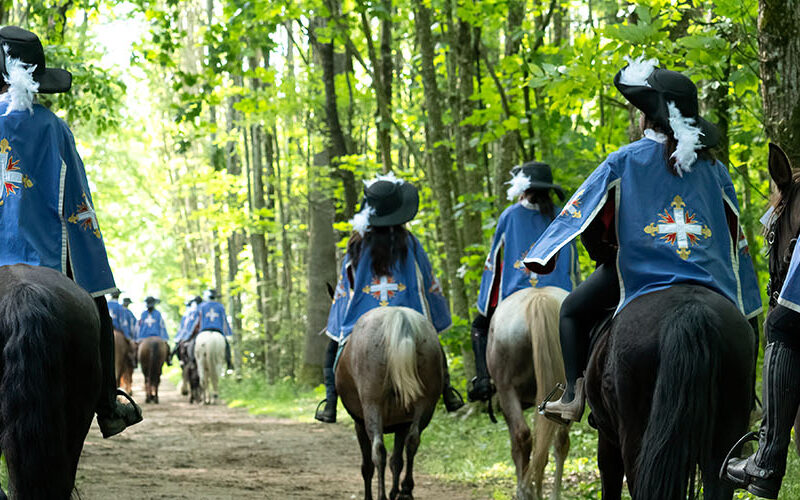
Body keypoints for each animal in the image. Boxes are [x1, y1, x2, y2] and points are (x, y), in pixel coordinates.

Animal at [334, 304, 440, 500]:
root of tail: (399, 316)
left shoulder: (359, 423)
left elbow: (368, 466)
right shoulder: (402, 424)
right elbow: (397, 460)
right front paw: (395, 492)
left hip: (372, 405)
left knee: (378, 451)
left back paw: (382, 495)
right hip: (425, 404)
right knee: (413, 441)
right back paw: (406, 490)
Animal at [484, 286, 572, 500]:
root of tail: (539, 298)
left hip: (507, 390)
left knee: (522, 437)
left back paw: (525, 491)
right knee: (559, 441)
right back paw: (552, 494)